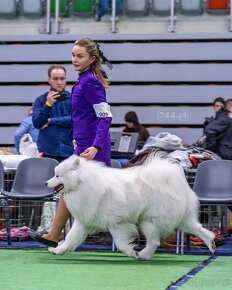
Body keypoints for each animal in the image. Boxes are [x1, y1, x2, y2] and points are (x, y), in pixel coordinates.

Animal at [45, 154, 216, 260]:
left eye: (57, 176)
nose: (45, 183)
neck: (83, 184)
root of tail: (171, 181)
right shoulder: (84, 223)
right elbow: (70, 238)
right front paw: (57, 250)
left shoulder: (117, 224)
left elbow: (121, 244)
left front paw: (132, 252)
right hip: (181, 220)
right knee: (198, 229)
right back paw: (211, 243)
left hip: (149, 221)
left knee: (154, 242)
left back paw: (142, 255)